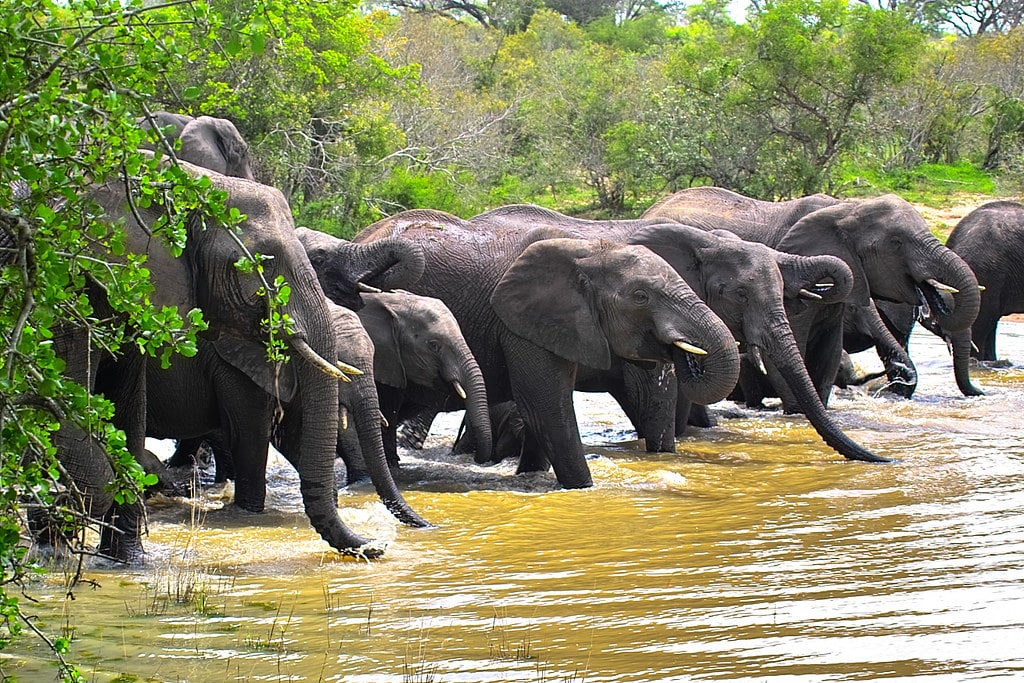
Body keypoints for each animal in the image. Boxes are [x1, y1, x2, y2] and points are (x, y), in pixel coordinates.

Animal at [83, 160, 430, 559]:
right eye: (261, 264)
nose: (378, 546)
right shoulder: (229, 363)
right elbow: (251, 433)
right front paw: (248, 512)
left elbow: (295, 438)